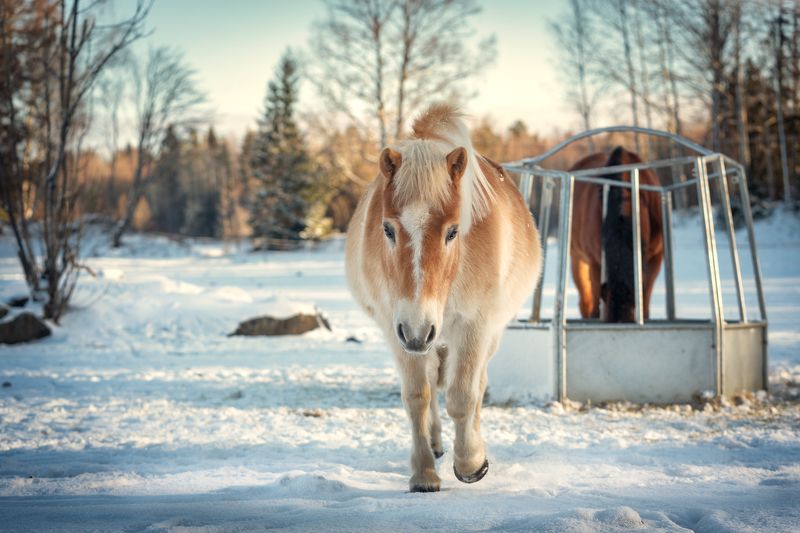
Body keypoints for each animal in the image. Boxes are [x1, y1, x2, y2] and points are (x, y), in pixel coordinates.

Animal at [345, 104, 542, 492]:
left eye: (452, 231)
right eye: (387, 229)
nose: (418, 330)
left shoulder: (474, 326)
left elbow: (464, 396)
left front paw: (471, 463)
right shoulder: (398, 329)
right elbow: (417, 398)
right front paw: (423, 474)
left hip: (482, 335)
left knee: (476, 386)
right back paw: (436, 445)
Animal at [569, 146, 663, 323]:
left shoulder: (656, 258)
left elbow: (645, 298)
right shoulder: (595, 263)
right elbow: (596, 303)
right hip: (578, 259)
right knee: (585, 301)